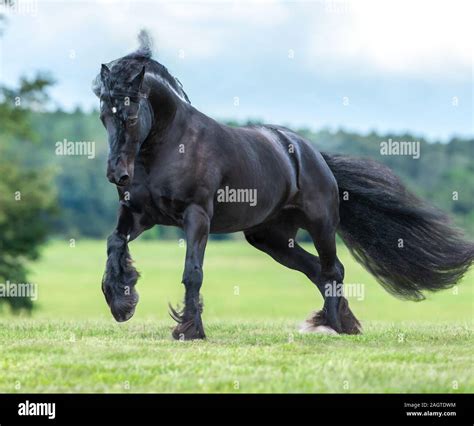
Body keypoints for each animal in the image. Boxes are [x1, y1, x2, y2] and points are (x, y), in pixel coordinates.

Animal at [93, 32, 474, 340]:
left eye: (130, 114)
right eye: (103, 116)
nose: (116, 174)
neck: (173, 144)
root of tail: (312, 154)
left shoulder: (196, 216)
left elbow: (193, 272)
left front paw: (189, 330)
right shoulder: (140, 214)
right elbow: (114, 243)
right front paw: (121, 301)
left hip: (320, 225)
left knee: (333, 269)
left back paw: (333, 326)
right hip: (272, 239)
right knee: (316, 271)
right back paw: (339, 322)